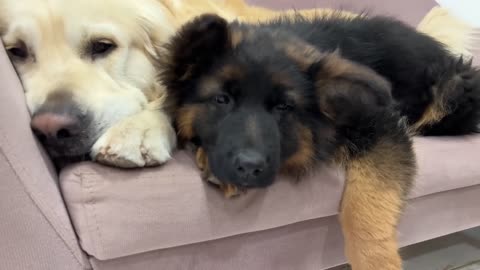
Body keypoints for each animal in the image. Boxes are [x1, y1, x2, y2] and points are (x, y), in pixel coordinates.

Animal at [159, 13, 480, 270]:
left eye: (284, 107)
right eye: (221, 100)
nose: (249, 168)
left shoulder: (384, 126)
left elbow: (364, 208)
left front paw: (377, 260)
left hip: (452, 93)